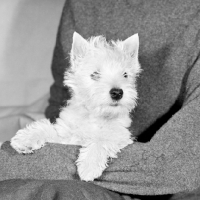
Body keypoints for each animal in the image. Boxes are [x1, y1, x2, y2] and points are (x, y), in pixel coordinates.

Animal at [10, 31, 141, 181]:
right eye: (95, 74)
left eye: (125, 75)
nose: (117, 93)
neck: (94, 116)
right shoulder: (64, 137)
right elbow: (46, 128)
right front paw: (24, 140)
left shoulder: (121, 136)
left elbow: (101, 139)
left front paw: (89, 167)